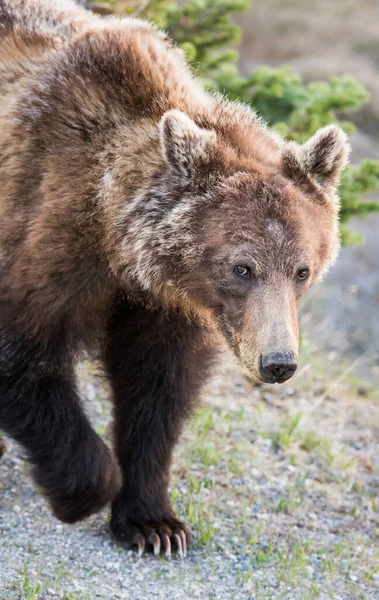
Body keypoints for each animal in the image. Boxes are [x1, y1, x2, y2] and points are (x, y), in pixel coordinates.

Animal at [0, 0, 350, 556]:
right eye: (242, 266)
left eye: (303, 270)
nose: (278, 362)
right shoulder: (47, 227)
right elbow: (25, 352)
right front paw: (83, 492)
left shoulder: (167, 305)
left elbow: (158, 389)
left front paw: (155, 525)